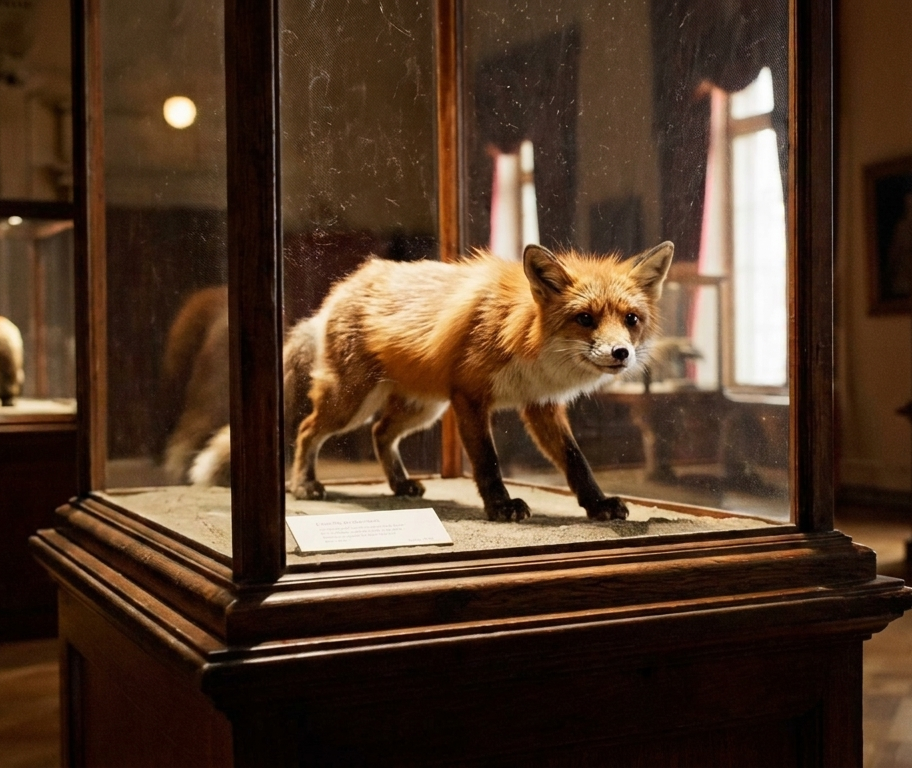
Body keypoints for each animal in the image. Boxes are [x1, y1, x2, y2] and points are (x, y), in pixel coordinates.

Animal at [191, 241, 674, 522]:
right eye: (585, 318)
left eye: (631, 320)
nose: (621, 353)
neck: (523, 331)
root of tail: (336, 295)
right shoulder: (469, 396)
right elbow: (487, 462)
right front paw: (500, 506)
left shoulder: (539, 405)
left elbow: (575, 461)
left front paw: (597, 504)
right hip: (353, 402)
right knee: (309, 430)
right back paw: (304, 485)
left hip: (421, 407)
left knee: (381, 433)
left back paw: (400, 485)